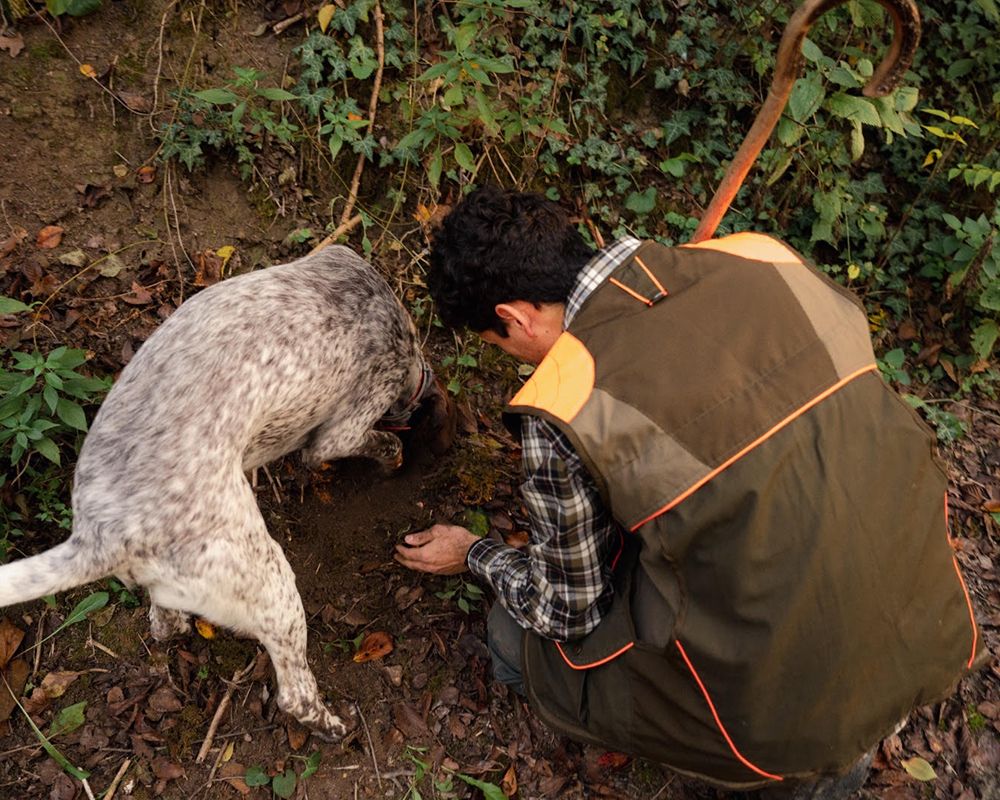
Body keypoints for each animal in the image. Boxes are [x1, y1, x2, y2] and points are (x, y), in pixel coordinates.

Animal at [0, 245, 454, 744]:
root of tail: (100, 538)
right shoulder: (343, 430)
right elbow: (373, 443)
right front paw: (393, 457)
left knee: (163, 622)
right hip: (272, 585)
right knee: (294, 694)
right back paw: (333, 726)